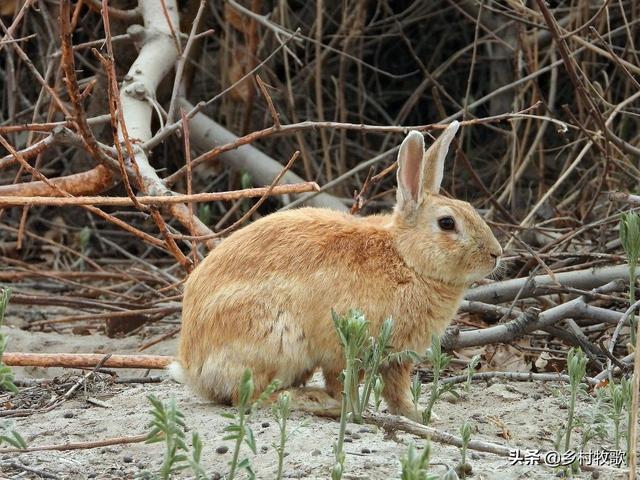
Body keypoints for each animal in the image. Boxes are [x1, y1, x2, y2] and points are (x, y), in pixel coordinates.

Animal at [172, 122, 502, 422]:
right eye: (447, 223)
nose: (496, 254)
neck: (406, 258)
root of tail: (192, 368)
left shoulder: (395, 360)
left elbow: (396, 391)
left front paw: (418, 416)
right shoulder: (344, 345)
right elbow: (344, 381)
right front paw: (354, 410)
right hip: (276, 341)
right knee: (252, 395)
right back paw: (315, 402)